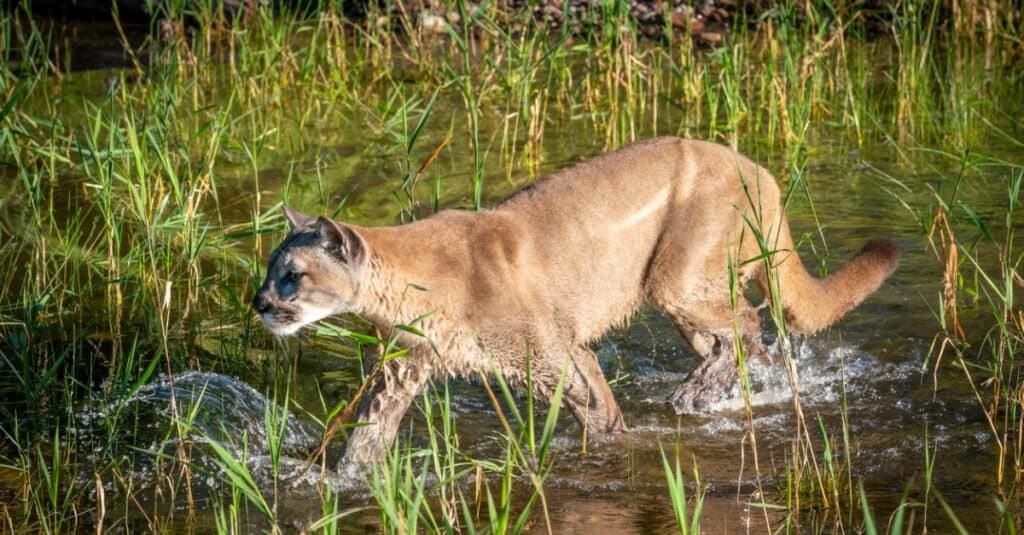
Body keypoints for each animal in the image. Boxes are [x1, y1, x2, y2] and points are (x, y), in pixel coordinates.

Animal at [253, 136, 897, 461]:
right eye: (270, 269)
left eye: (293, 275)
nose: (258, 303)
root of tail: (758, 167)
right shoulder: (401, 371)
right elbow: (366, 438)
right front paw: (334, 483)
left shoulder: (560, 355)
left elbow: (600, 414)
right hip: (689, 293)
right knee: (736, 337)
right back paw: (709, 390)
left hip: (676, 278)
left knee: (748, 325)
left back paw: (695, 394)